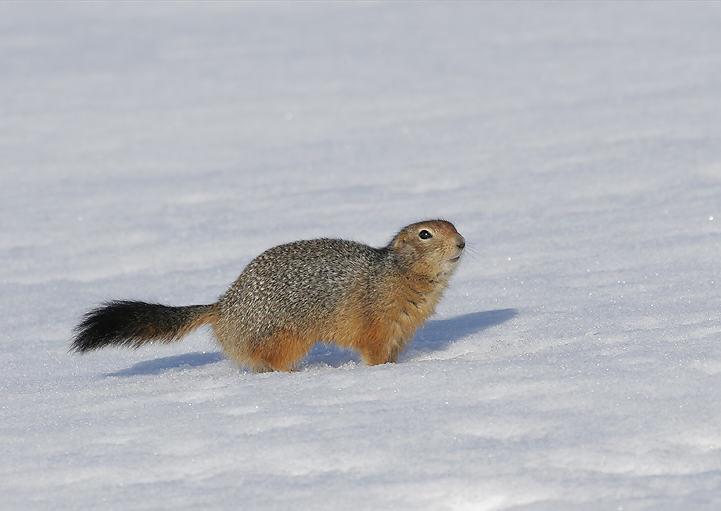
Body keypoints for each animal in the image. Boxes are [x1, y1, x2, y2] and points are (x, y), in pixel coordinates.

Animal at [73, 220, 466, 372]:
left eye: (454, 225)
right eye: (426, 234)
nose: (462, 242)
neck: (395, 274)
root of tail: (223, 307)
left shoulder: (403, 329)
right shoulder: (378, 324)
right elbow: (374, 353)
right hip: (284, 339)